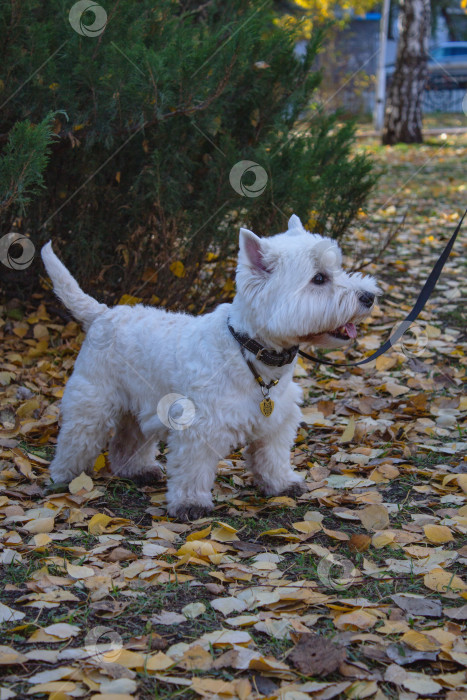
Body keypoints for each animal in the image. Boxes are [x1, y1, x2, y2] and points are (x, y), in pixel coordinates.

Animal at [42, 216, 380, 524]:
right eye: (319, 279)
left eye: (337, 269)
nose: (369, 296)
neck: (251, 353)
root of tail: (103, 314)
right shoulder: (198, 426)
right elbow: (194, 468)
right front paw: (190, 503)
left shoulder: (276, 423)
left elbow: (273, 457)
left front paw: (282, 484)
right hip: (93, 401)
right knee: (77, 439)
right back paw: (65, 478)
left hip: (140, 405)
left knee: (128, 440)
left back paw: (137, 470)